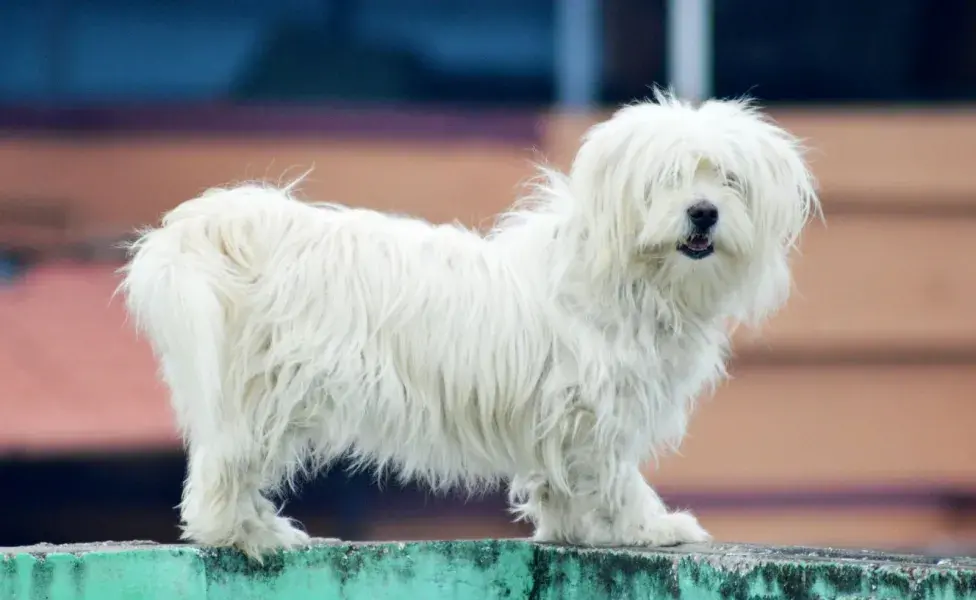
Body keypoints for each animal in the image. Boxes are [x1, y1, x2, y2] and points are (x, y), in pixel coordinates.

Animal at [118, 92, 820, 556]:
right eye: (666, 181)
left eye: (729, 179)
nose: (703, 212)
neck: (628, 278)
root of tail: (242, 228)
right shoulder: (597, 412)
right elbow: (615, 476)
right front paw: (648, 527)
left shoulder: (563, 416)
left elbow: (562, 481)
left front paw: (571, 527)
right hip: (267, 393)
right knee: (224, 469)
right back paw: (250, 533)